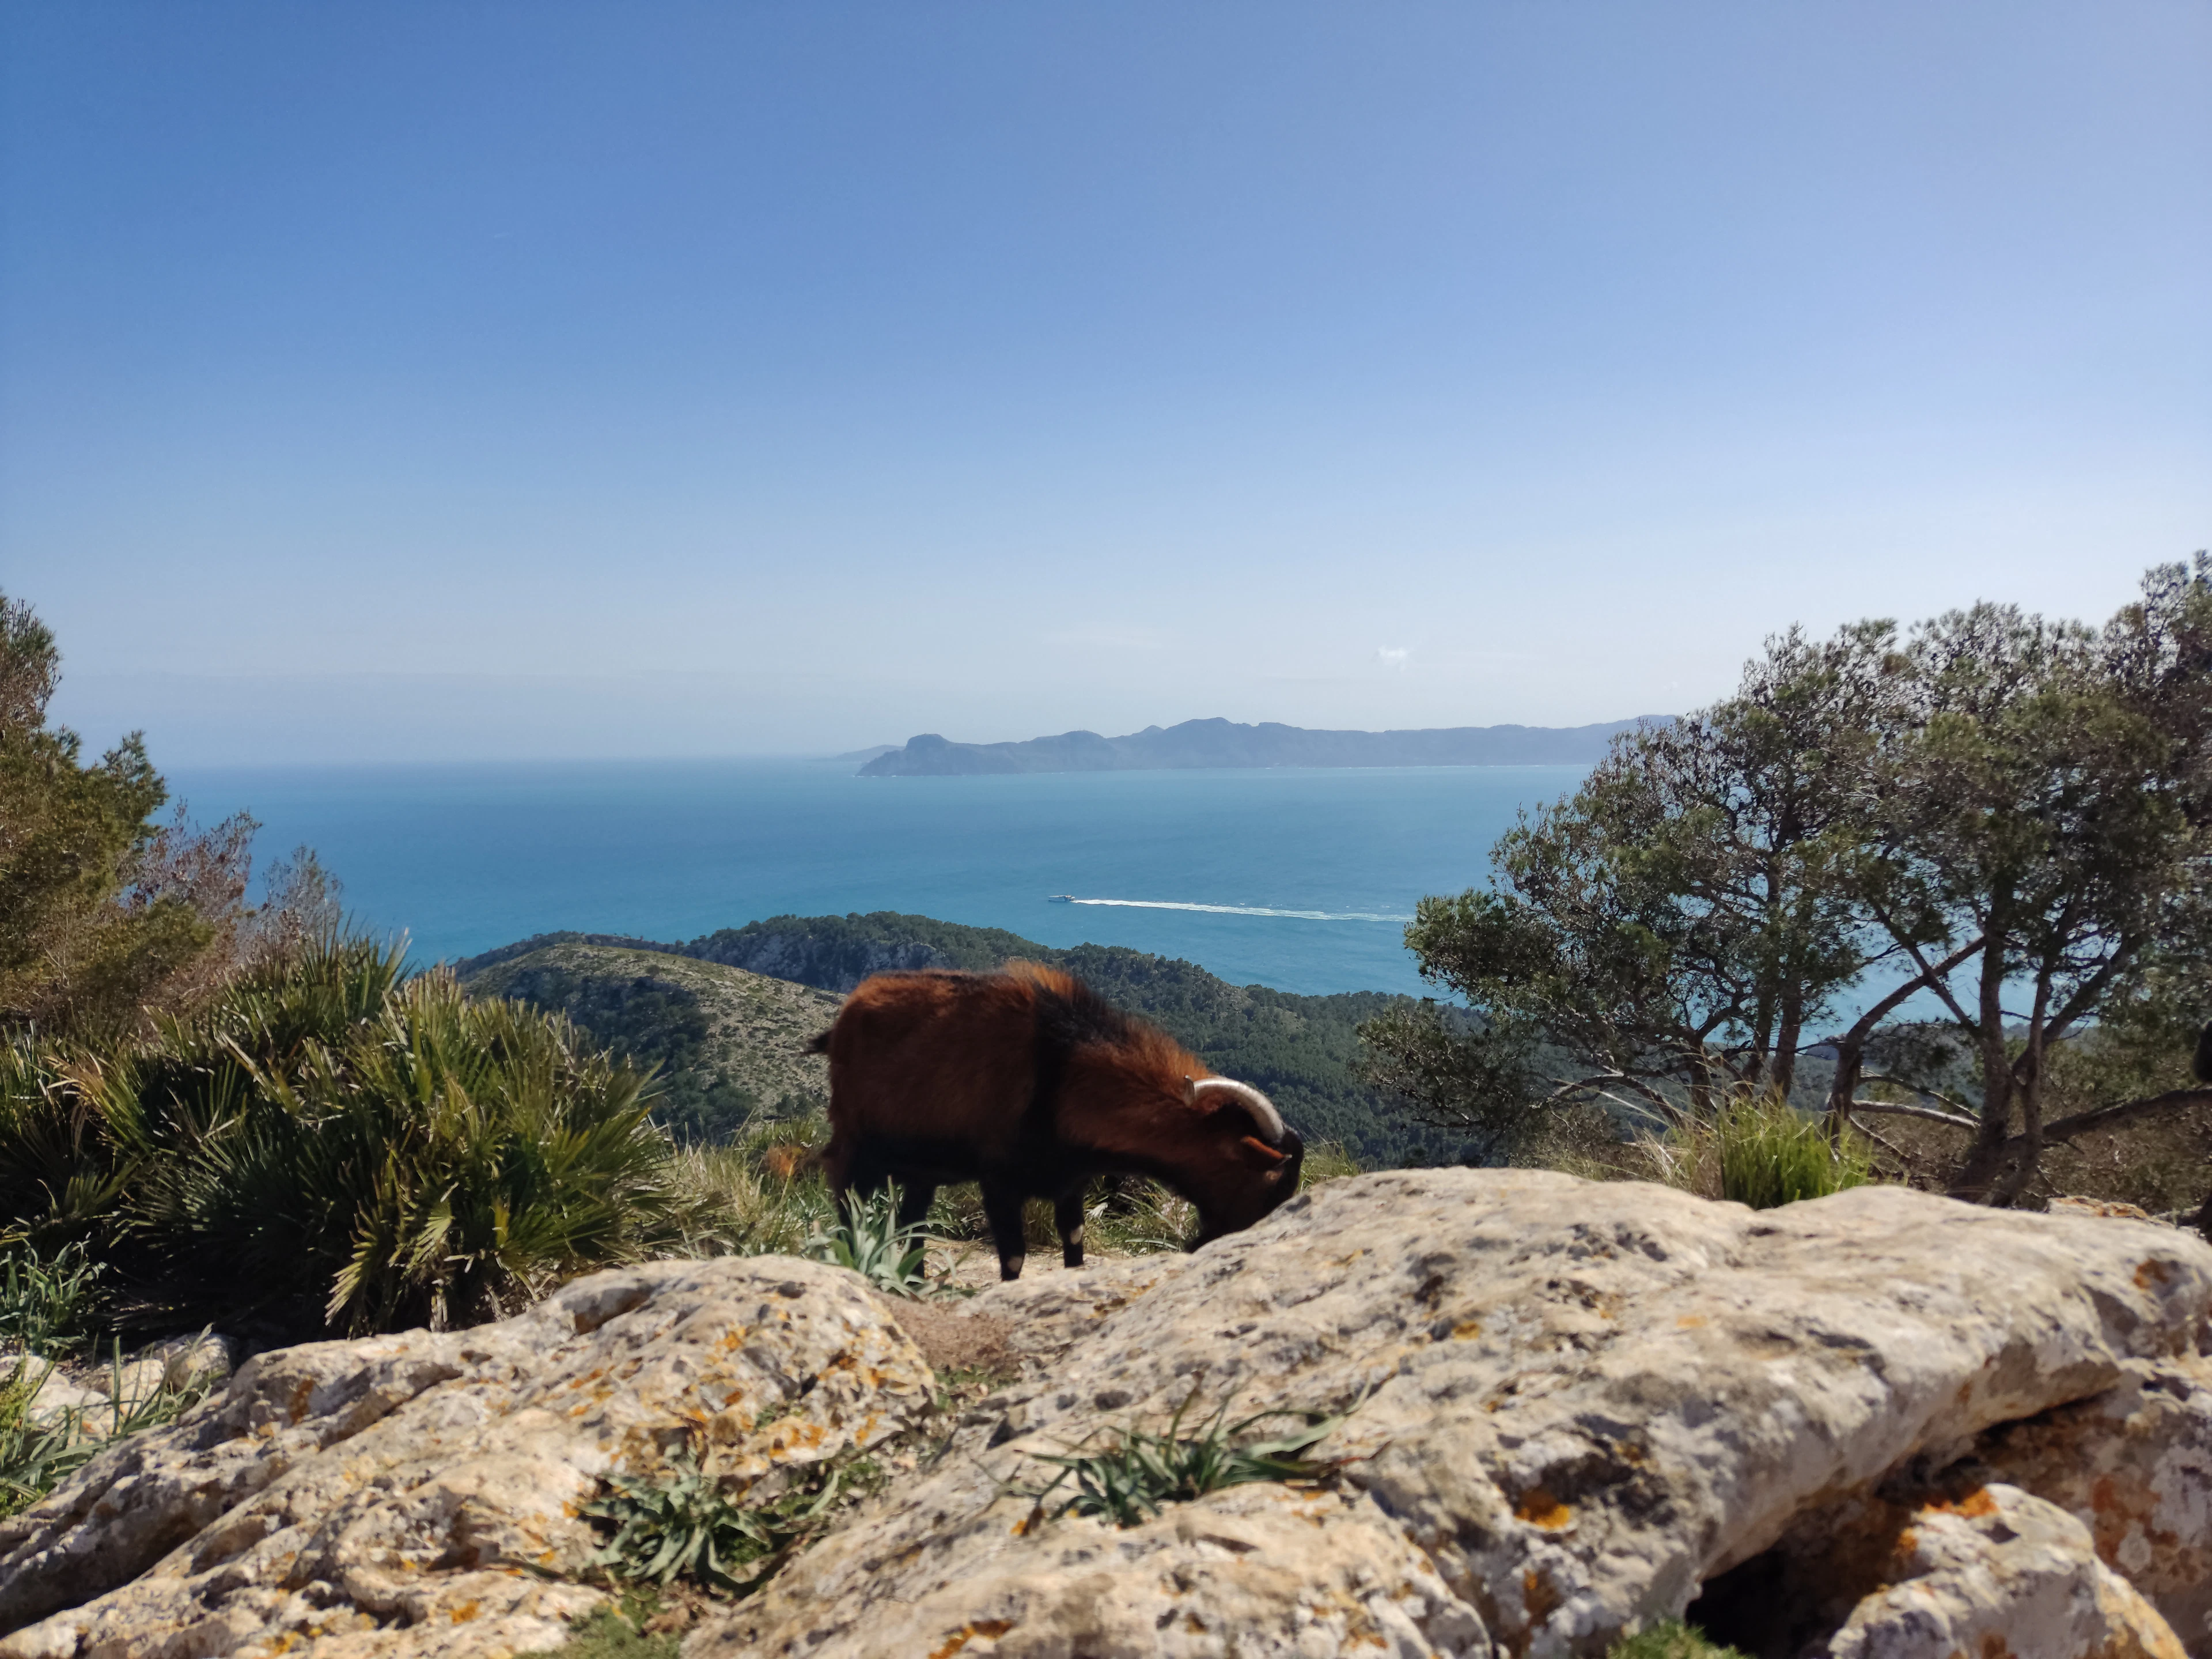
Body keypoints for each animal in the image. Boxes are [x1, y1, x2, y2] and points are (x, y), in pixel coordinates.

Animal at [809, 961, 1304, 1280]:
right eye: (1271, 1185)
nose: (1205, 1246)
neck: (1058, 1070)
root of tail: (846, 1015)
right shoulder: (1000, 1182)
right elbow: (1013, 1259)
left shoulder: (1070, 1184)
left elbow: (1075, 1245)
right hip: (856, 1140)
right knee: (846, 1194)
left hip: (923, 1166)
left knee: (913, 1222)